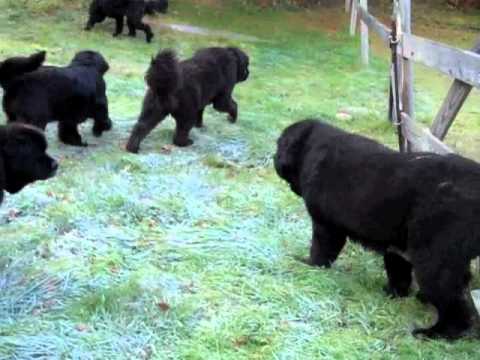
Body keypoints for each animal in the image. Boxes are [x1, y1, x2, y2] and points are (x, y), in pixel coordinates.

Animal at [274, 119, 480, 340]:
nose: (274, 156)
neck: (310, 147)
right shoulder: (396, 245)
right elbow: (398, 272)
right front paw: (392, 293)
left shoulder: (326, 225)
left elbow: (321, 249)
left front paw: (309, 264)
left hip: (433, 258)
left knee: (453, 302)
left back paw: (434, 332)